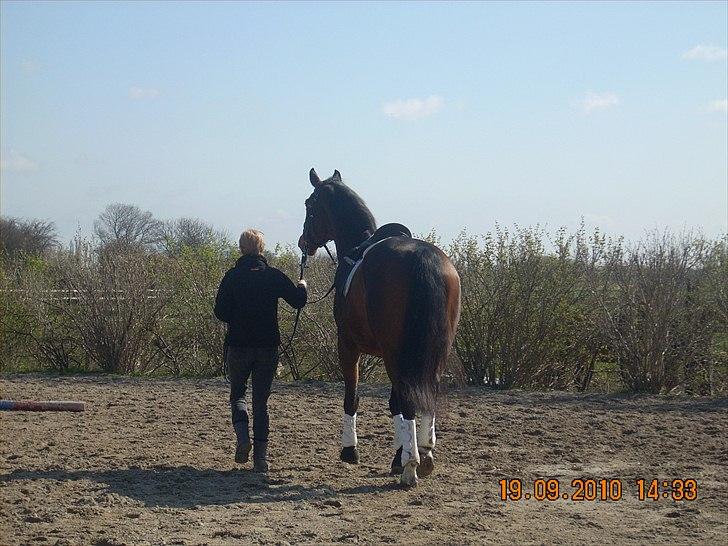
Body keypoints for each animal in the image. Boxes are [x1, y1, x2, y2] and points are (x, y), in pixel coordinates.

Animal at [298, 167, 460, 484]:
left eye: (309, 205)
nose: (302, 242)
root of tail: (423, 258)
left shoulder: (348, 345)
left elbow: (353, 396)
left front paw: (350, 450)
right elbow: (394, 403)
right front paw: (398, 456)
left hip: (396, 352)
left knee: (409, 400)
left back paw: (412, 467)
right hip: (434, 351)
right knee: (426, 394)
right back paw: (424, 455)